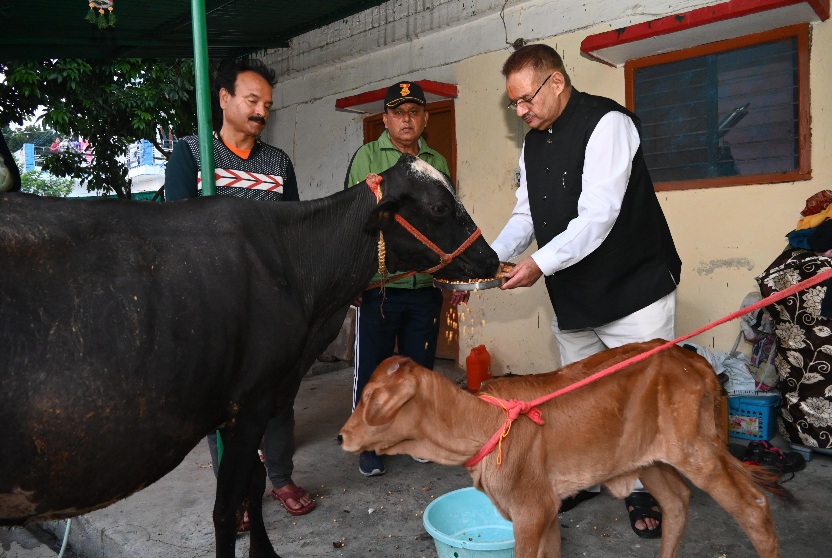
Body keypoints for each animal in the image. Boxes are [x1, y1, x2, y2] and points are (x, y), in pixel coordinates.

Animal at [0, 154, 498, 558]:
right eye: (439, 208)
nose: (491, 257)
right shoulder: (252, 399)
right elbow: (224, 507)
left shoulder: (257, 399)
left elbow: (254, 484)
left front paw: (265, 551)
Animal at [340, 342, 788, 558]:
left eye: (371, 399)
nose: (342, 436)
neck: (483, 423)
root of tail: (694, 362)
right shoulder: (545, 510)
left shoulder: (530, 511)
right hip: (651, 457)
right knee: (677, 501)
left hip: (696, 450)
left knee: (754, 508)